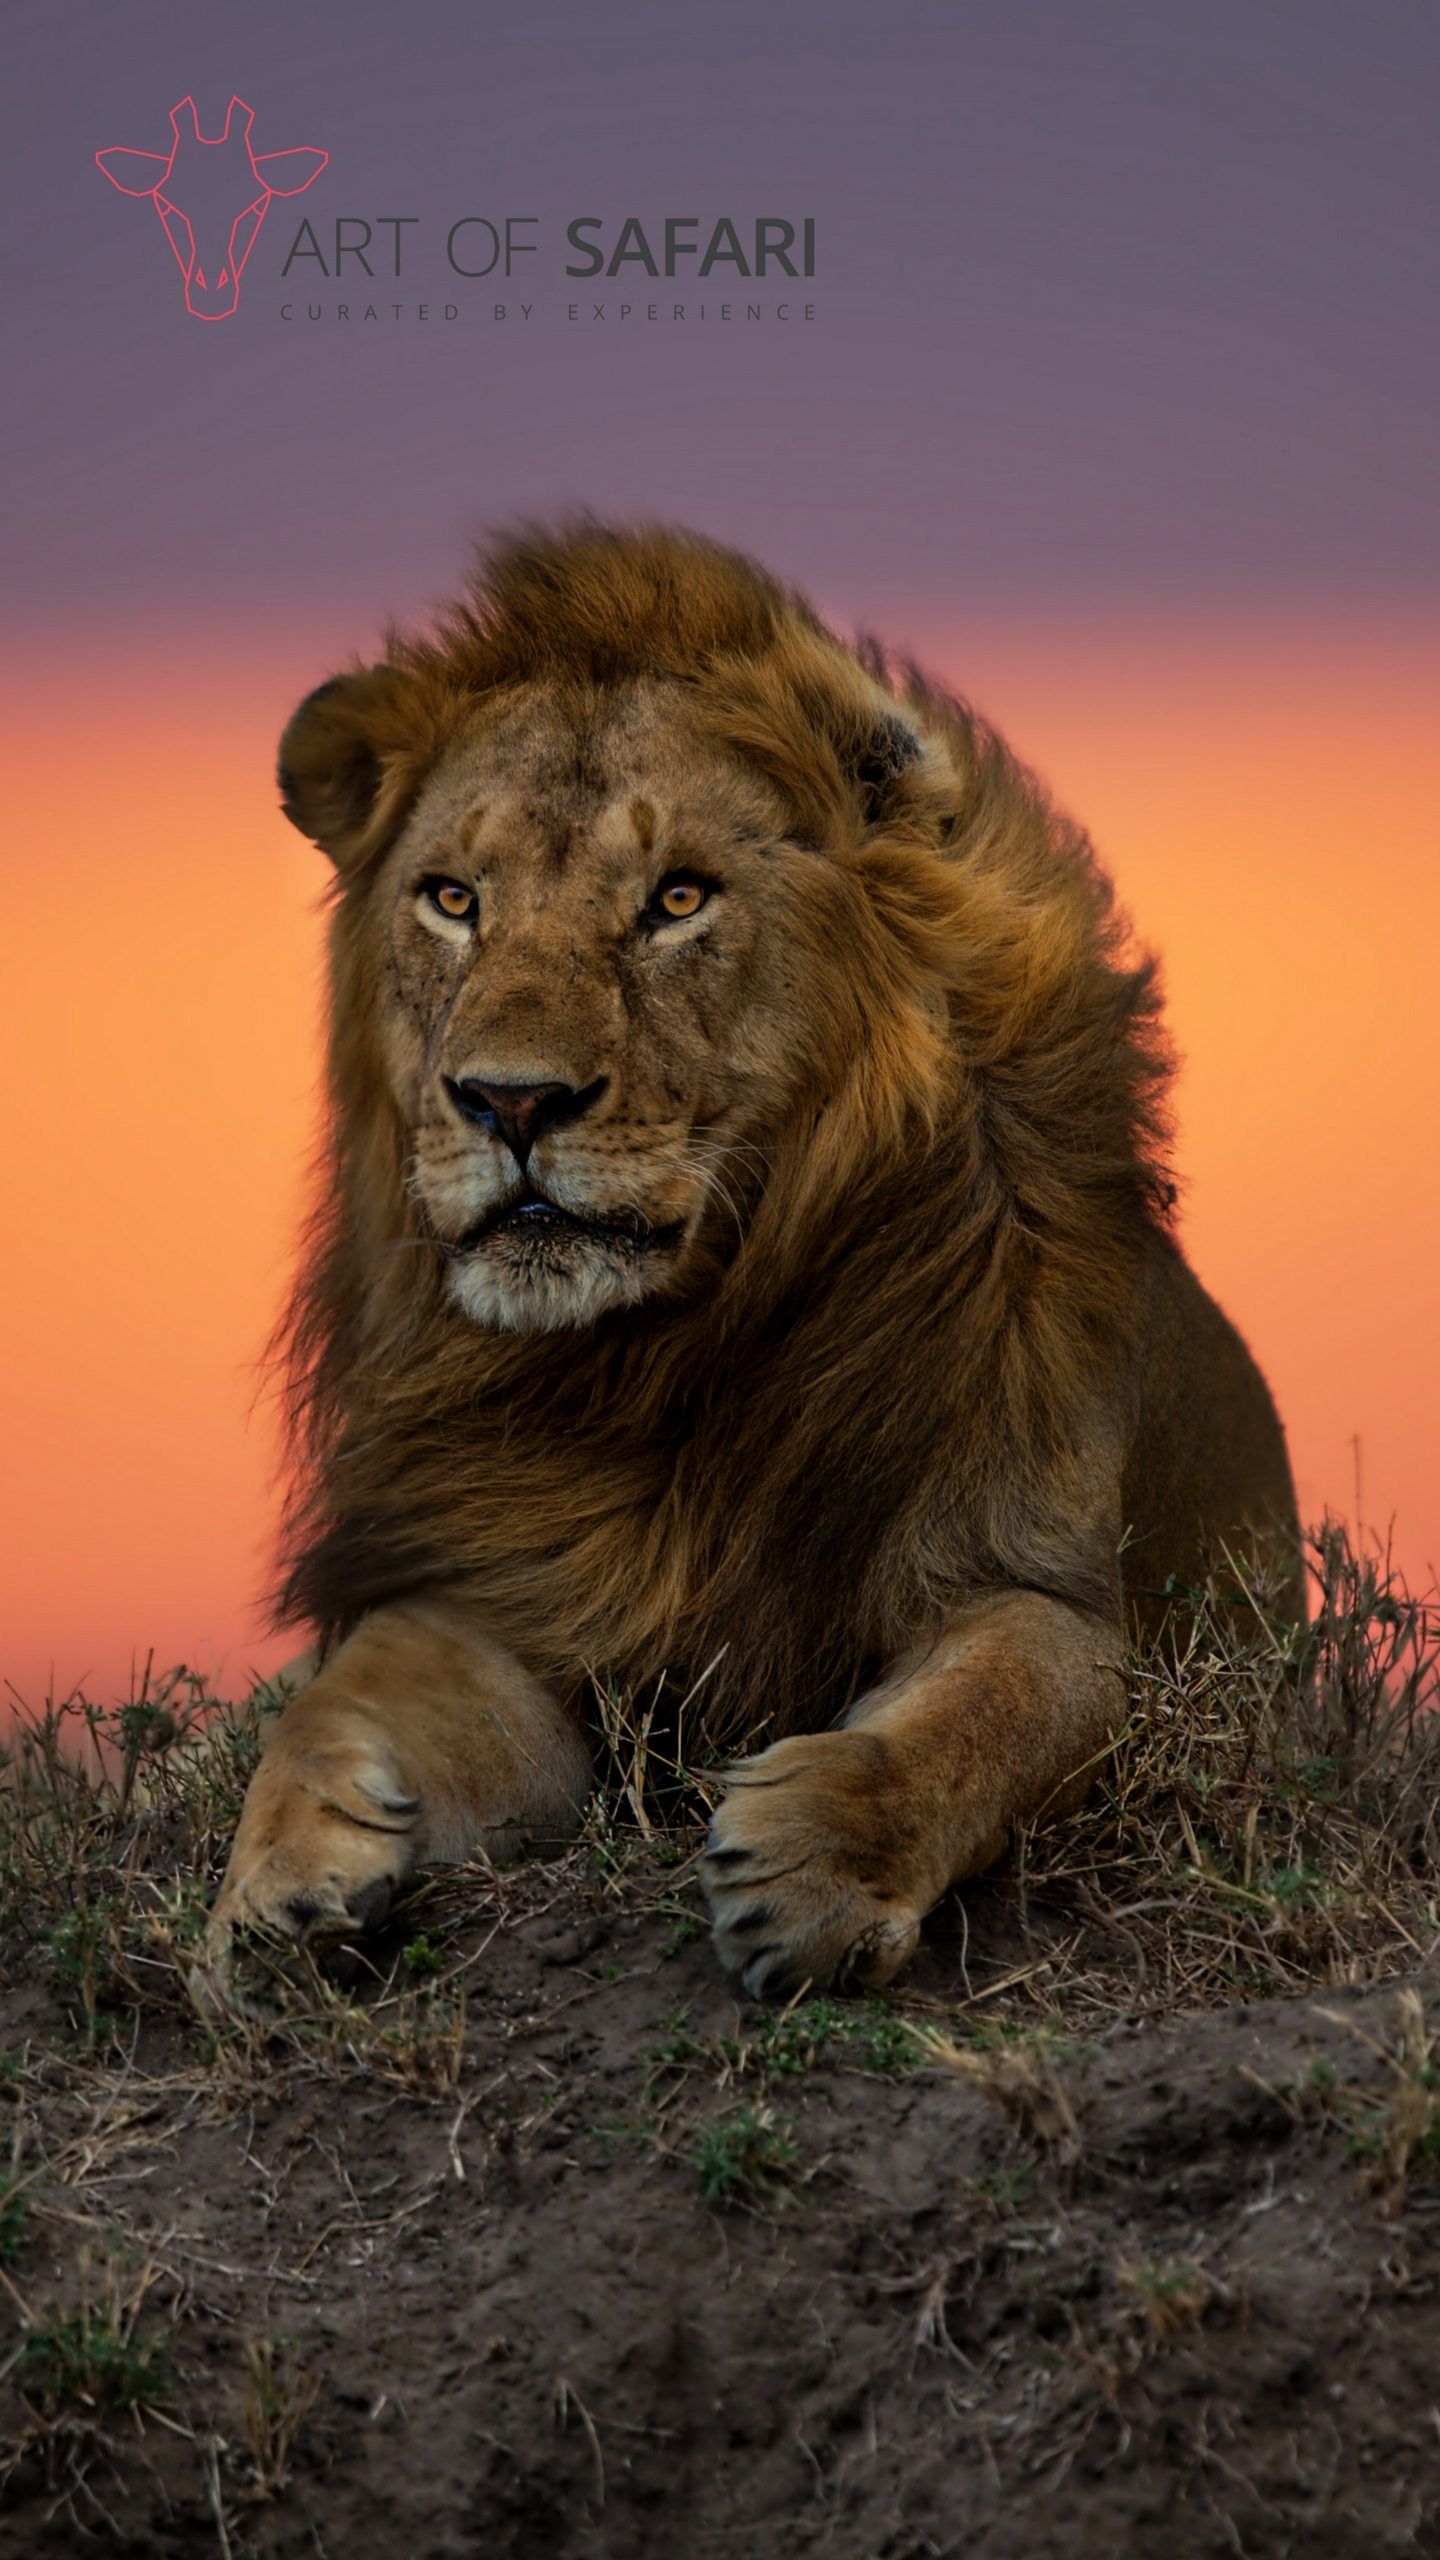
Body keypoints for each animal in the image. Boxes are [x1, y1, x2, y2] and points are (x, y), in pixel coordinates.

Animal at [209, 520, 1300, 1998]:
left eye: (679, 898)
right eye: (452, 900)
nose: (508, 1101)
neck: (667, 1357)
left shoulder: (1035, 1577)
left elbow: (996, 1708)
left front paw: (818, 1867)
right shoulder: (500, 1594)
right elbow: (334, 1700)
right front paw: (272, 1888)